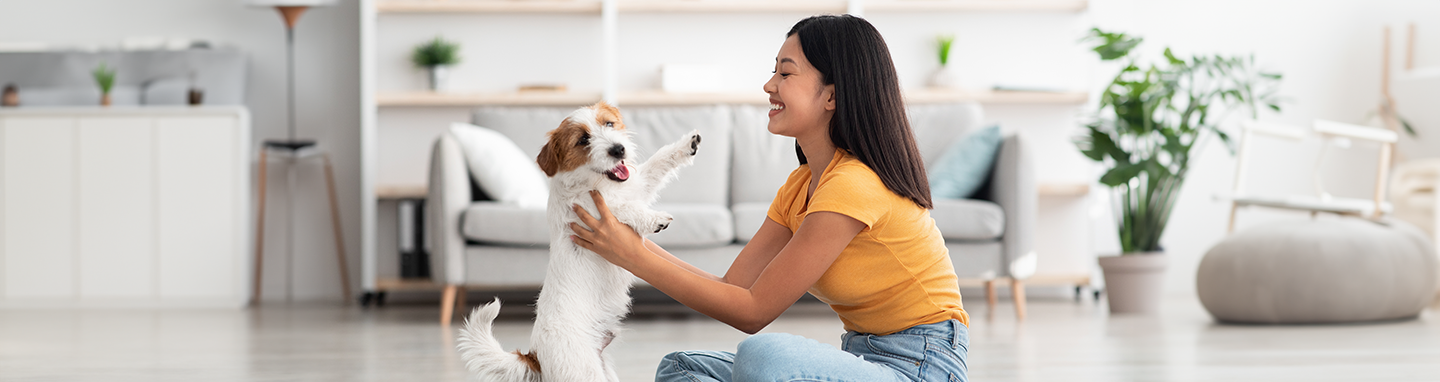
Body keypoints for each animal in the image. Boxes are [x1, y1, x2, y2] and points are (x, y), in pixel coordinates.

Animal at [457, 100, 699, 380]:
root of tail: (535, 356)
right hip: (585, 373)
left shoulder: (635, 185)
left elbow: (657, 163)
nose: (618, 149)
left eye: (609, 124)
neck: (595, 183)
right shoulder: (596, 212)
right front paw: (654, 218)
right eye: (583, 140)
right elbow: (623, 209)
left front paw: (687, 145)